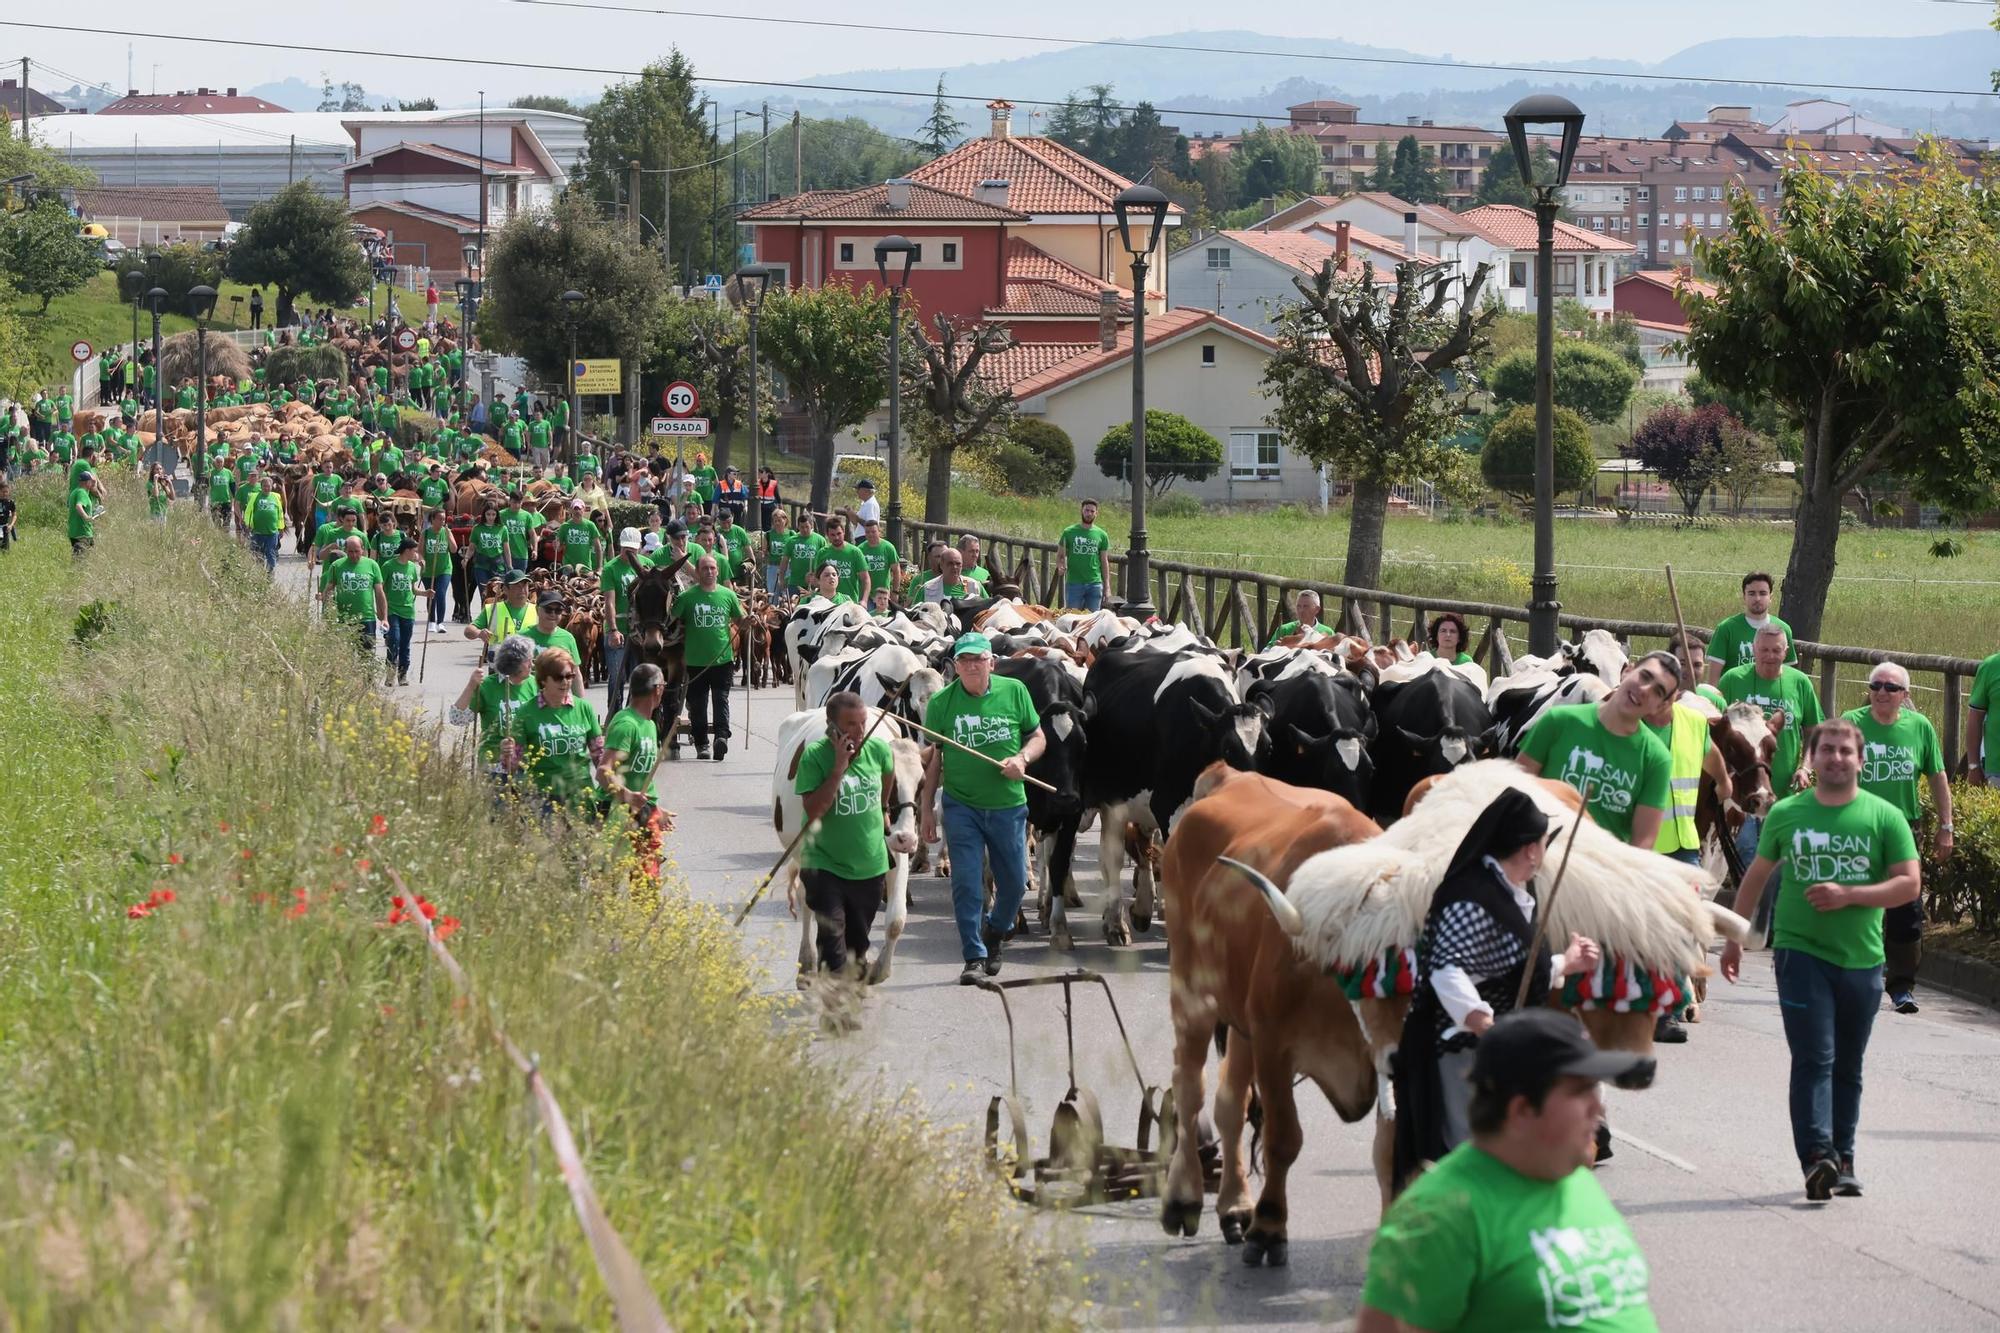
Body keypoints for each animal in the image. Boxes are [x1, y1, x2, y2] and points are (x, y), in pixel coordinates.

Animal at [1160, 764, 1392, 1264]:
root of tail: (1229, 774)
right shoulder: (1273, 1044)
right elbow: (1284, 1138)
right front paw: (1269, 1227)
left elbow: (1390, 1149)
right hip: (1191, 995)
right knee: (1189, 1091)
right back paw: (1184, 1198)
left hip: (1239, 1019)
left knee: (1229, 1104)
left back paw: (1234, 1205)